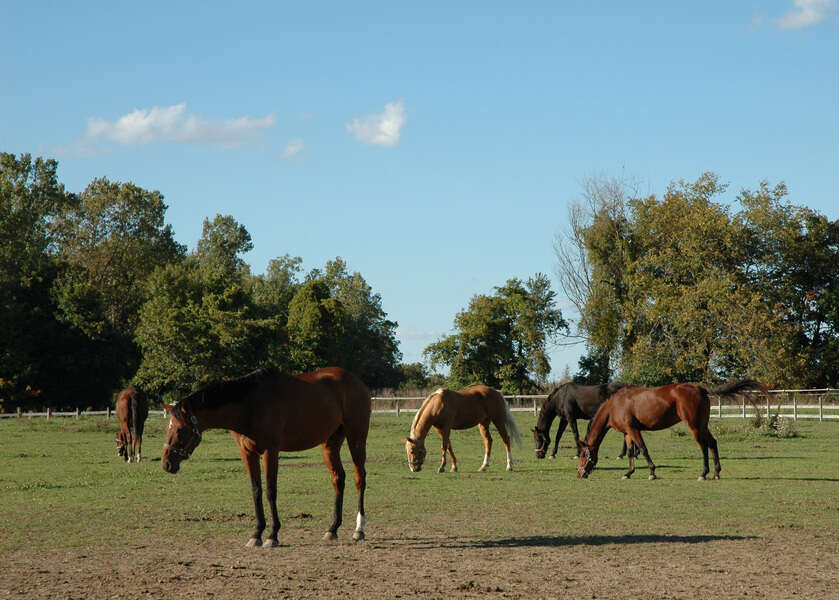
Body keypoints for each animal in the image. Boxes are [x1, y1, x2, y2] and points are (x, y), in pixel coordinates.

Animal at [162, 366, 370, 548]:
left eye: (180, 429)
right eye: (168, 427)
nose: (166, 464)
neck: (249, 405)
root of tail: (356, 381)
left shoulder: (270, 451)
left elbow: (270, 491)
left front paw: (272, 535)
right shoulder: (247, 453)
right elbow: (256, 491)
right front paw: (256, 534)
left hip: (356, 438)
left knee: (359, 478)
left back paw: (359, 529)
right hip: (330, 444)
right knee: (338, 478)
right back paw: (332, 529)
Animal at [576, 380, 768, 482]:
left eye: (584, 455)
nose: (580, 473)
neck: (614, 405)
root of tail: (701, 389)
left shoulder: (633, 429)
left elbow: (643, 449)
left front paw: (652, 472)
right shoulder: (627, 433)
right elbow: (631, 453)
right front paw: (628, 473)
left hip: (695, 427)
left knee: (703, 447)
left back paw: (703, 473)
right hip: (703, 425)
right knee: (713, 443)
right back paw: (716, 473)